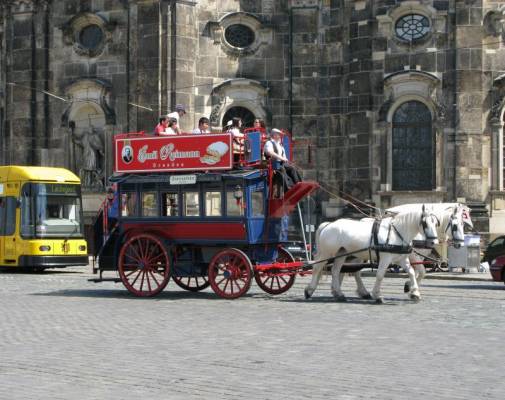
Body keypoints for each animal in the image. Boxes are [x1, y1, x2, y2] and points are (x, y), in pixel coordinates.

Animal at [302, 206, 440, 304]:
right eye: (425, 223)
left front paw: (414, 292)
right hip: (328, 253)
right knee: (317, 268)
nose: (434, 242)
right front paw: (377, 295)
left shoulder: (401, 258)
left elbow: (411, 272)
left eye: (436, 223)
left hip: (342, 253)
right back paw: (309, 290)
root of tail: (328, 224)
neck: (397, 232)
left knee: (336, 270)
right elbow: (380, 275)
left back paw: (339, 294)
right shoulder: (386, 258)